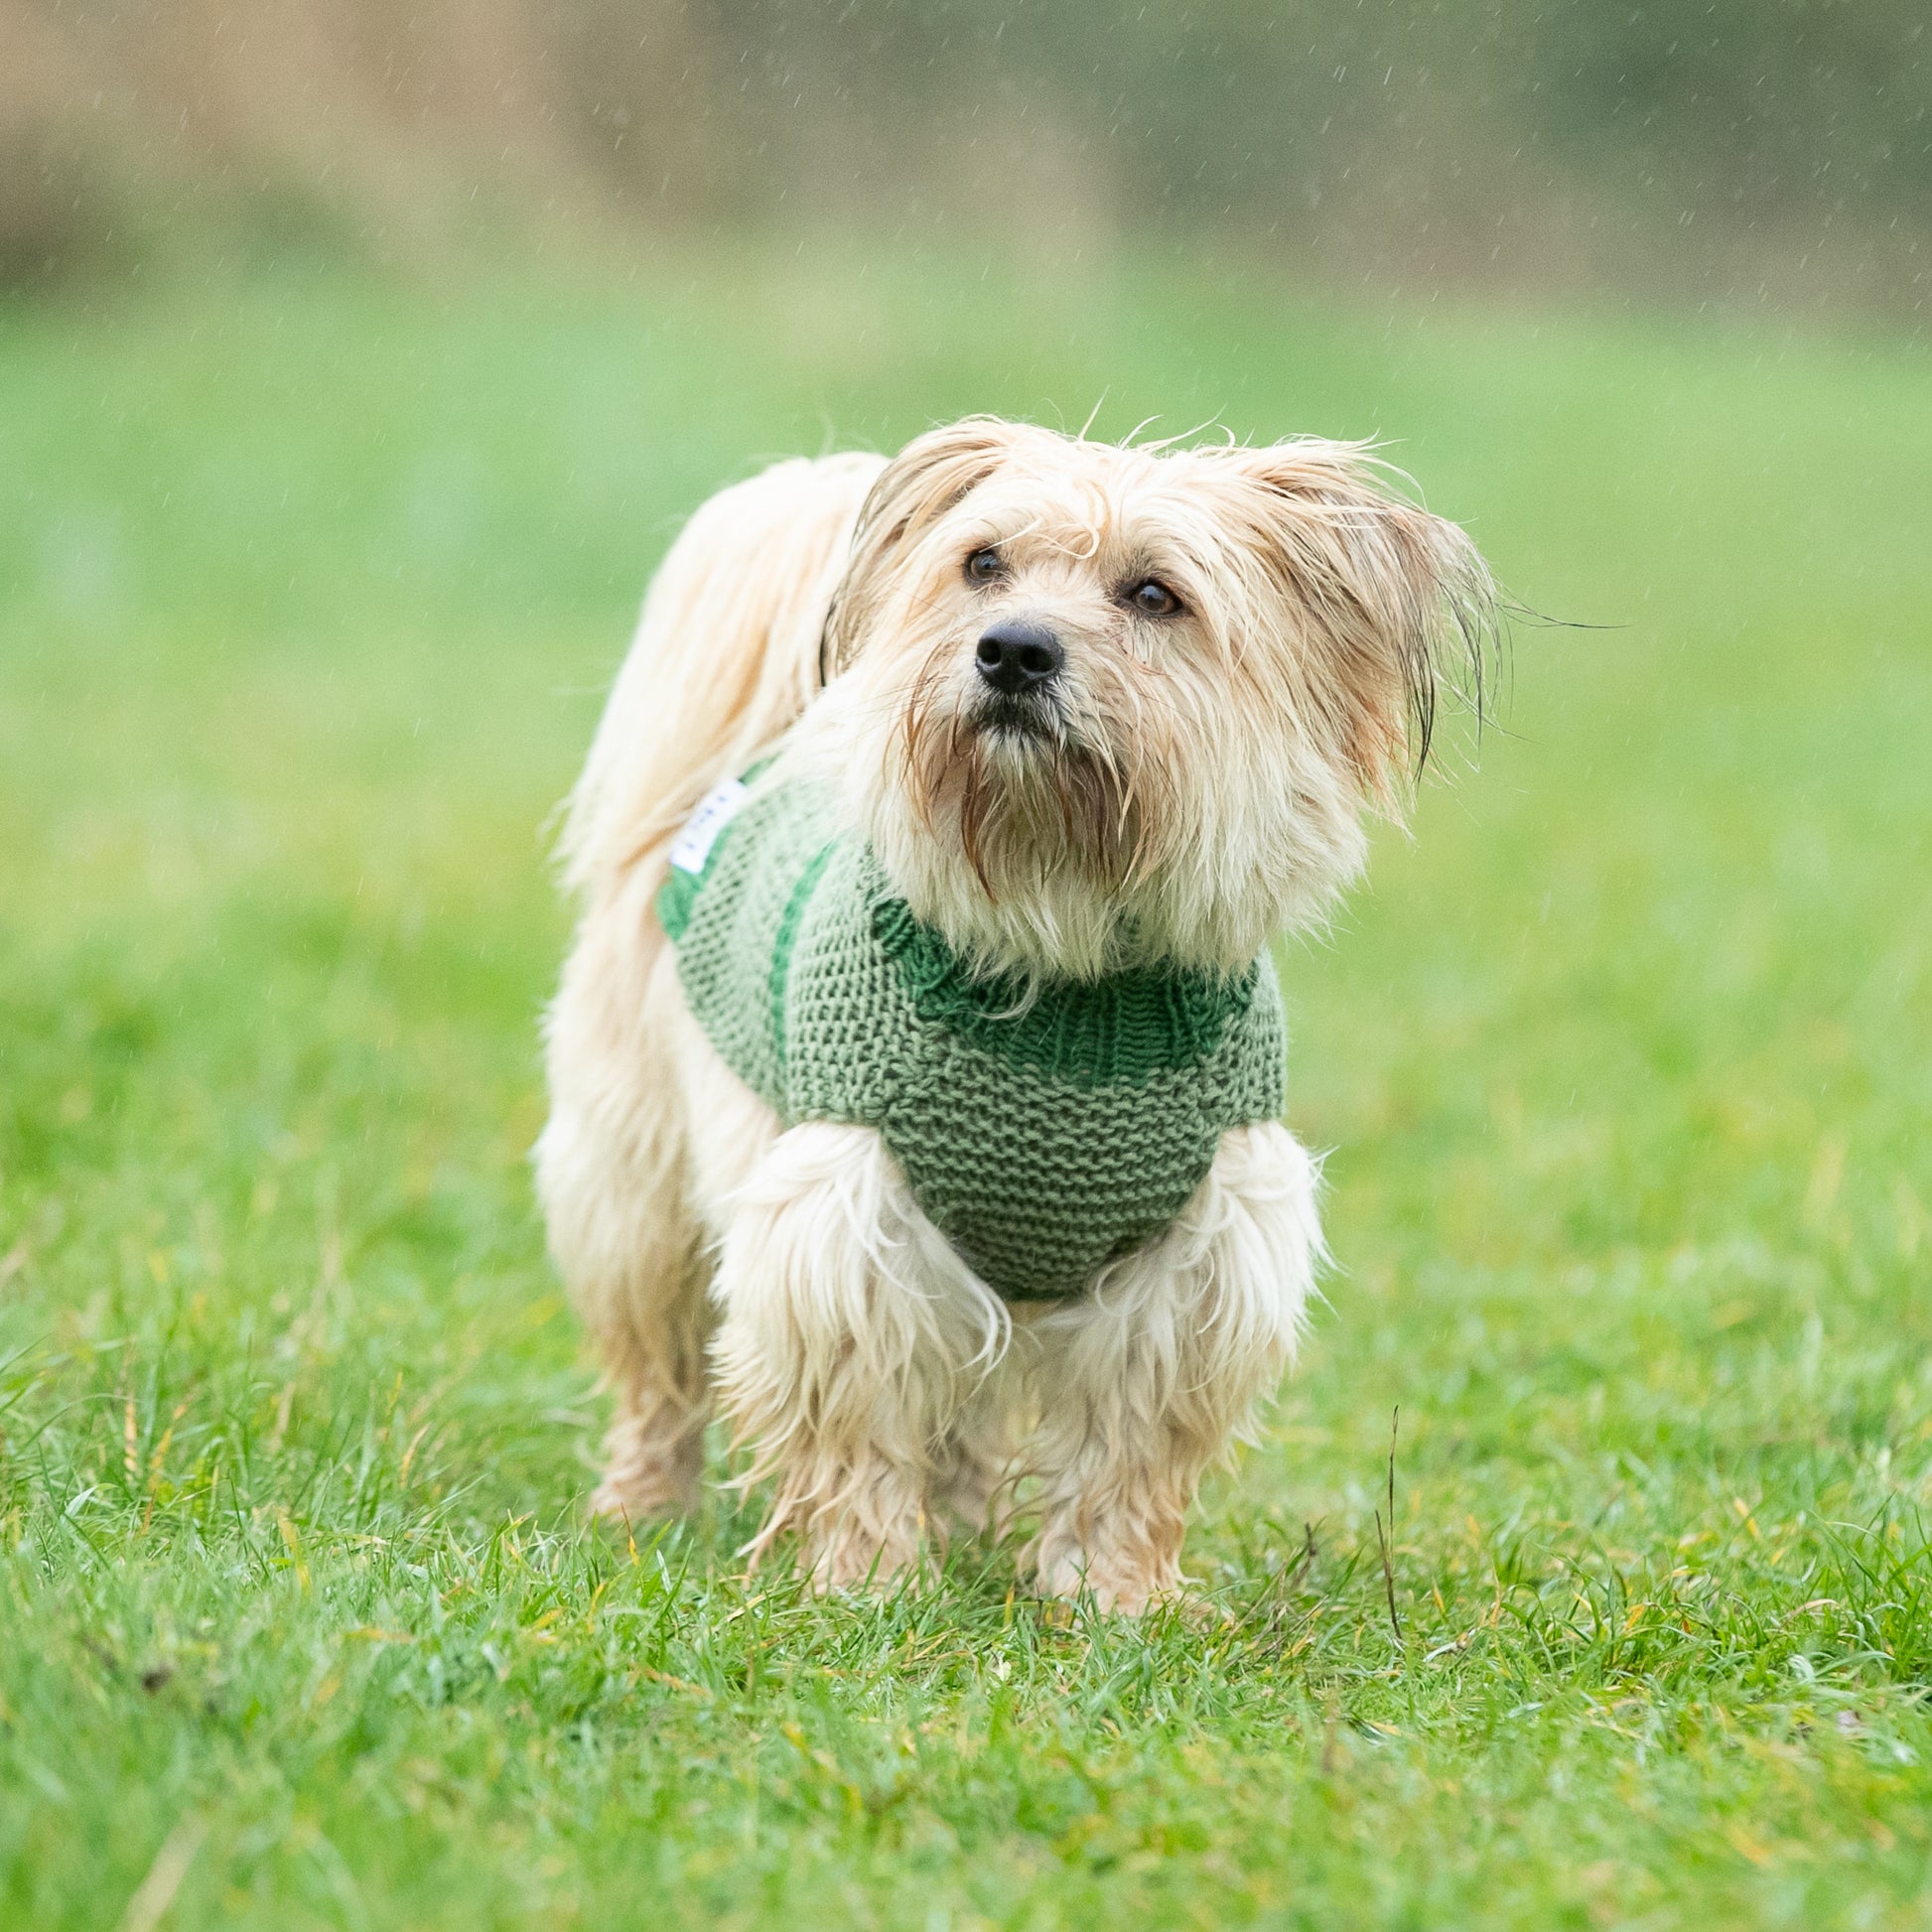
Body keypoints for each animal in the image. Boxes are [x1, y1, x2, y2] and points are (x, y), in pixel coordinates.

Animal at [536, 419, 1499, 1614]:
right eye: (981, 563)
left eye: (1154, 593)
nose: (1012, 650)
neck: (1064, 970)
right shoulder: (849, 1231)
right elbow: (860, 1429)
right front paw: (866, 1585)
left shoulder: (1190, 1262)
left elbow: (1126, 1453)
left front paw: (1116, 1598)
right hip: (638, 1189)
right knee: (660, 1371)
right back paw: (644, 1507)